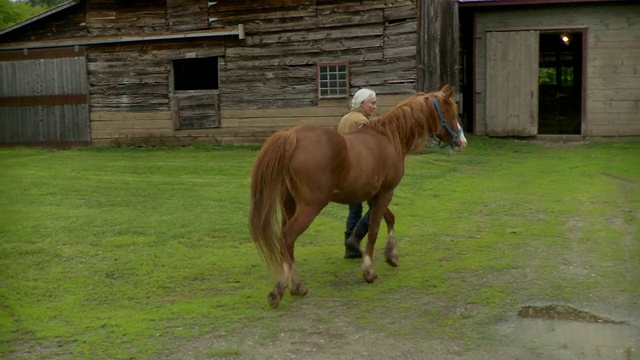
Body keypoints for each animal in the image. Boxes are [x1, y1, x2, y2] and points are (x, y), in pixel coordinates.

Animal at [249, 84, 464, 306]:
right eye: (451, 112)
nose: (461, 141)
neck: (389, 138)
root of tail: (291, 136)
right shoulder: (385, 193)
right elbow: (374, 229)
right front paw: (369, 271)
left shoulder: (374, 195)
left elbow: (389, 219)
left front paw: (391, 255)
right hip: (310, 207)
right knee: (287, 236)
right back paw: (290, 286)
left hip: (288, 204)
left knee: (285, 241)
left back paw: (291, 284)